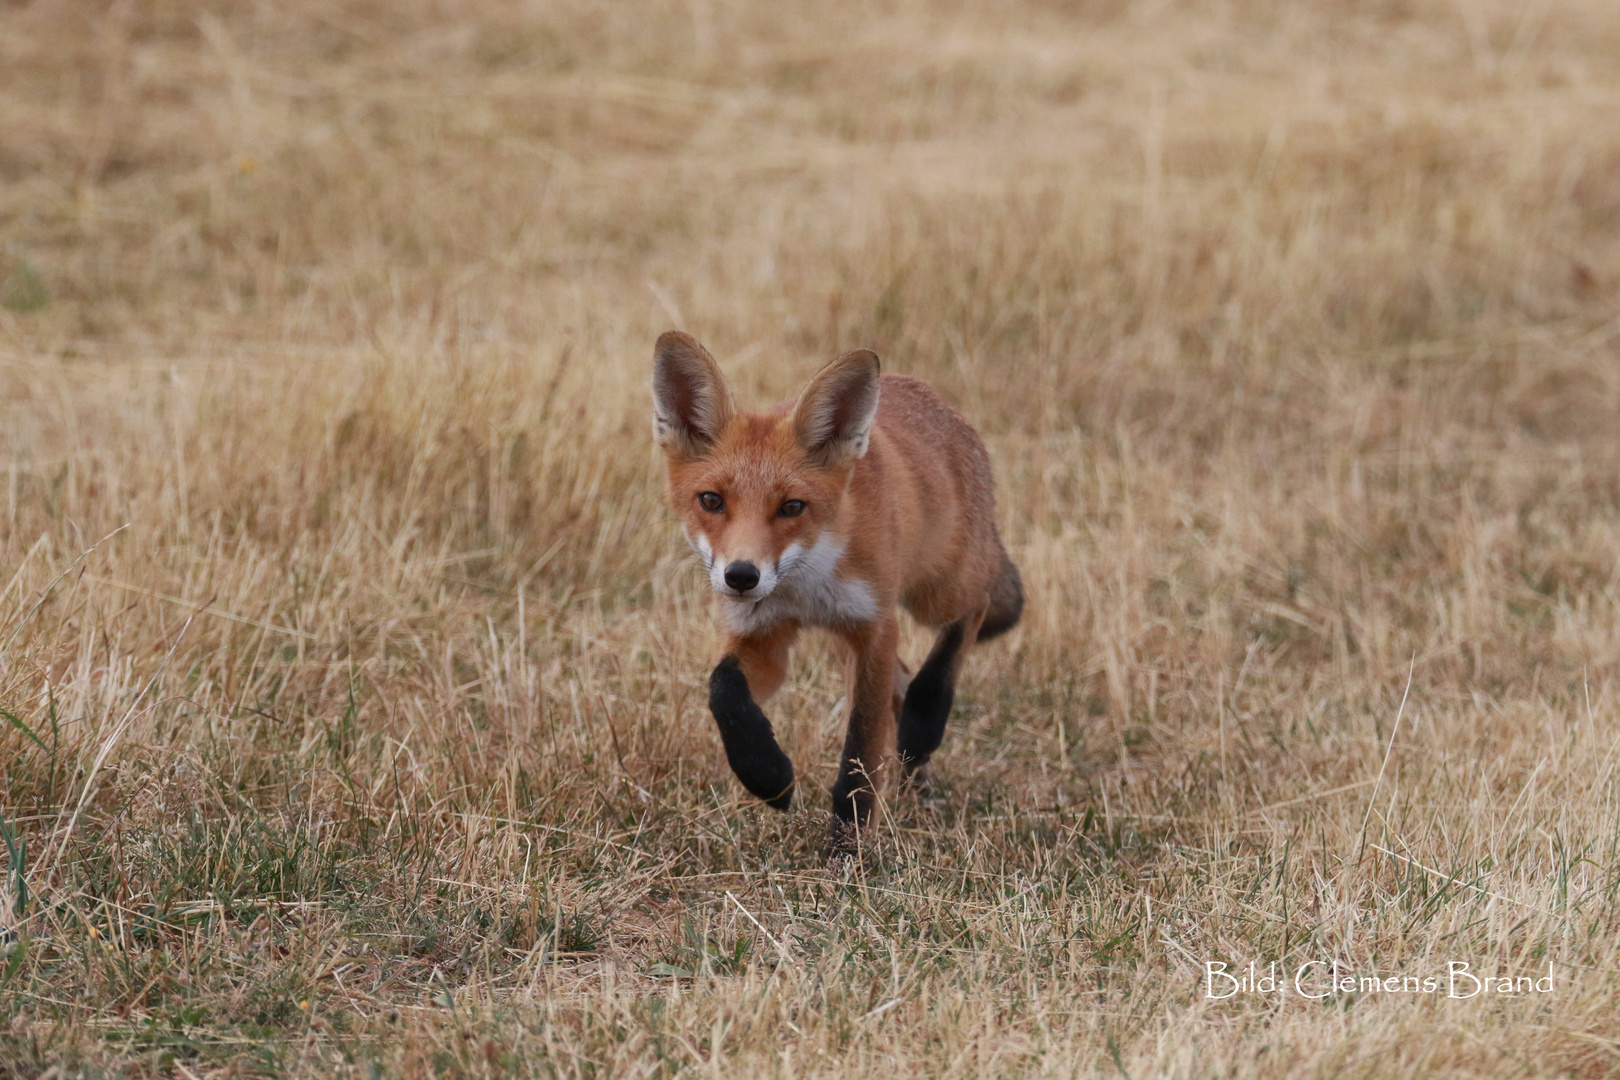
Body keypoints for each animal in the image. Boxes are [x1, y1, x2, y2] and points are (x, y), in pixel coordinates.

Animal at [648, 331, 1017, 854]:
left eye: (792, 507)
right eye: (711, 501)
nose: (741, 576)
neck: (805, 588)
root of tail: (931, 396)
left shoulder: (875, 628)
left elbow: (860, 749)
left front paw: (847, 845)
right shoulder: (764, 634)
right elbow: (724, 692)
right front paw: (767, 776)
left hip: (937, 592)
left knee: (970, 612)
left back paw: (925, 720)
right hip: (851, 640)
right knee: (902, 683)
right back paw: (915, 773)